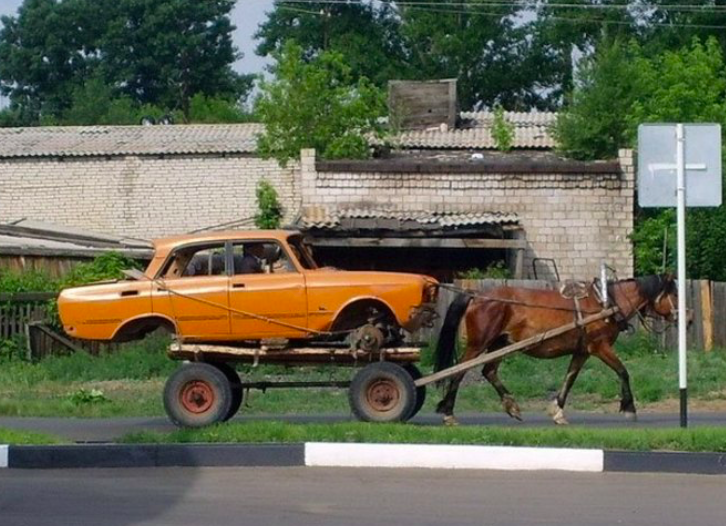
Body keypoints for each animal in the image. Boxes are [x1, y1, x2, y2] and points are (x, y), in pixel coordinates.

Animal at [433, 275, 679, 426]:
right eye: (674, 294)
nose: (684, 317)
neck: (606, 304)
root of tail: (476, 295)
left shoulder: (582, 351)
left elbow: (569, 378)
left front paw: (558, 412)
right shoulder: (600, 347)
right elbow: (623, 372)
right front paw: (629, 408)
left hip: (500, 344)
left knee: (489, 371)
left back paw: (511, 406)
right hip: (479, 344)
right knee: (458, 372)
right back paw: (449, 413)